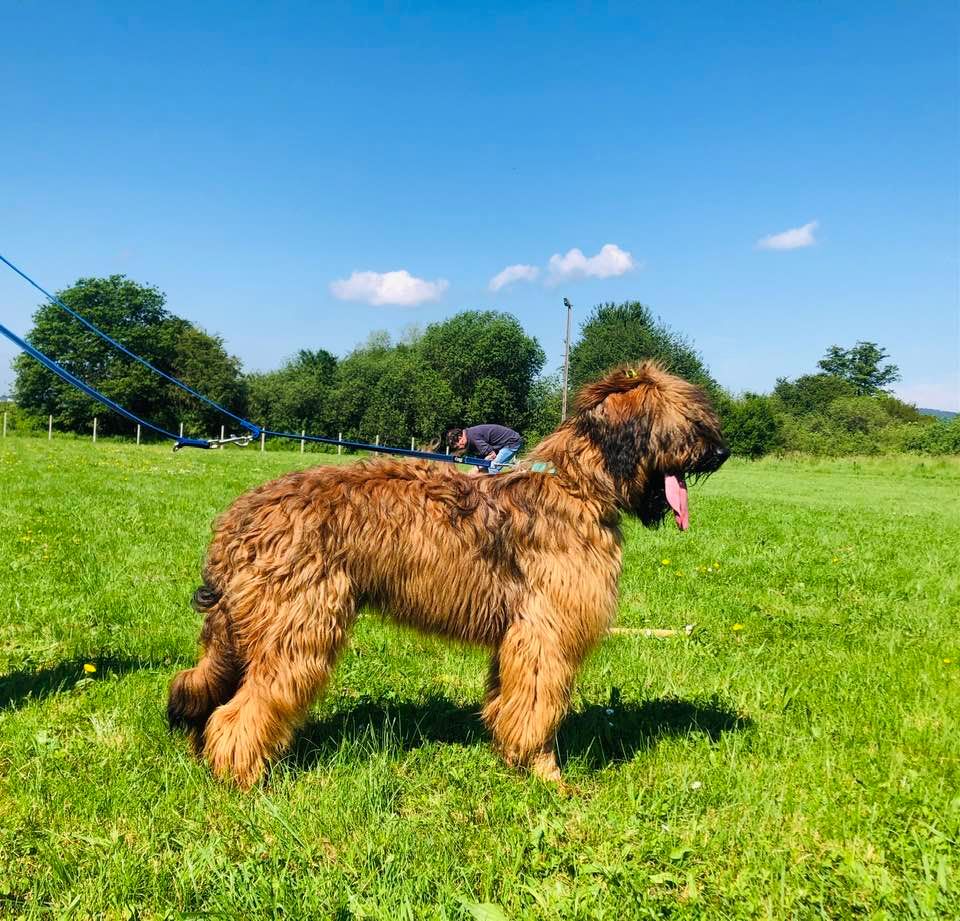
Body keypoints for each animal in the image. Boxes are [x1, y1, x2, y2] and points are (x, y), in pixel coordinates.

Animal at [171, 362, 728, 788]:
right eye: (685, 419)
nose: (722, 453)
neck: (575, 486)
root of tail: (239, 519)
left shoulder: (517, 637)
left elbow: (510, 703)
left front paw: (512, 758)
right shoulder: (546, 633)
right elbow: (540, 709)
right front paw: (550, 778)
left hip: (252, 629)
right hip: (299, 626)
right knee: (243, 710)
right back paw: (241, 776)